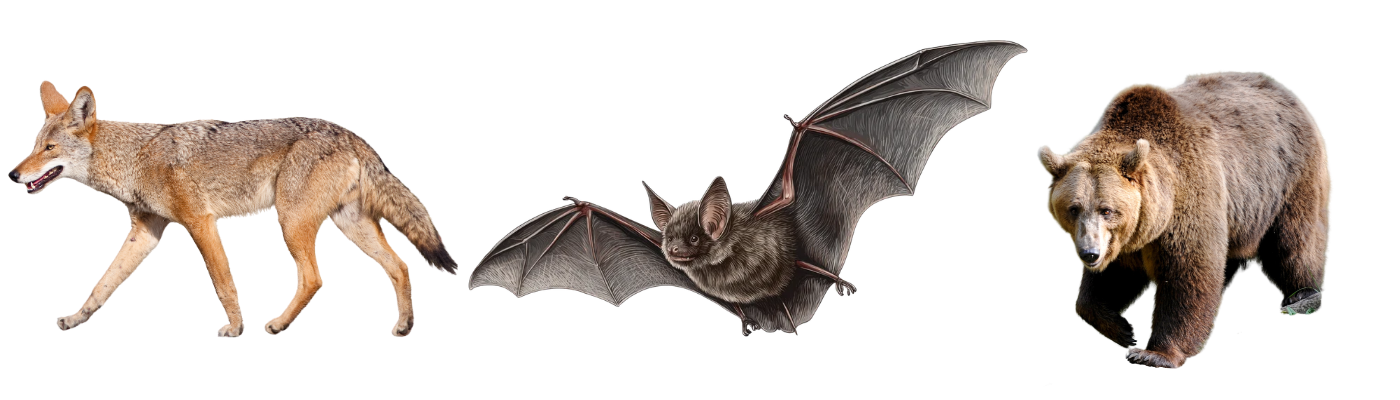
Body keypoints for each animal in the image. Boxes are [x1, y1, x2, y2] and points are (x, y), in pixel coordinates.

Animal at [1037, 72, 1328, 368]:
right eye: (1074, 208)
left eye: (1106, 209)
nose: (1090, 253)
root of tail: (1283, 91)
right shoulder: (1124, 240)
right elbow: (1107, 282)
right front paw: (1122, 329)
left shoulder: (1188, 199)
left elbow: (1187, 275)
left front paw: (1153, 353)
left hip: (1286, 180)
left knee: (1293, 243)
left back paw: (1302, 296)